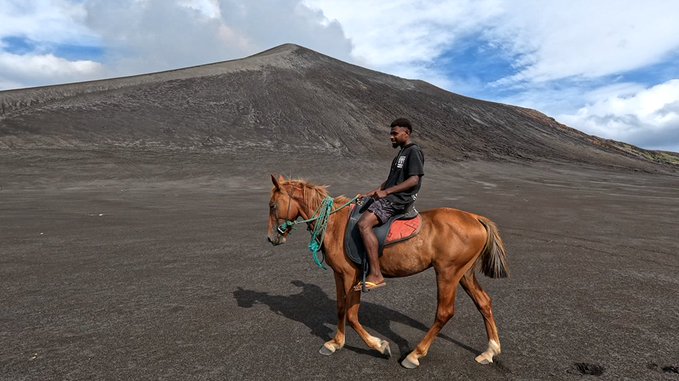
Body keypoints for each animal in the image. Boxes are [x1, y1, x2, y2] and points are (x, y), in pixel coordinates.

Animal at [266, 175, 510, 368]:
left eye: (272, 206)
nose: (271, 238)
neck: (335, 224)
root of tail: (475, 218)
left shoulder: (352, 276)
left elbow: (352, 315)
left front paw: (379, 346)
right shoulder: (338, 274)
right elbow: (341, 308)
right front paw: (335, 343)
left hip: (448, 273)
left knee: (445, 312)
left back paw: (414, 355)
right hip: (464, 273)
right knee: (484, 302)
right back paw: (490, 351)